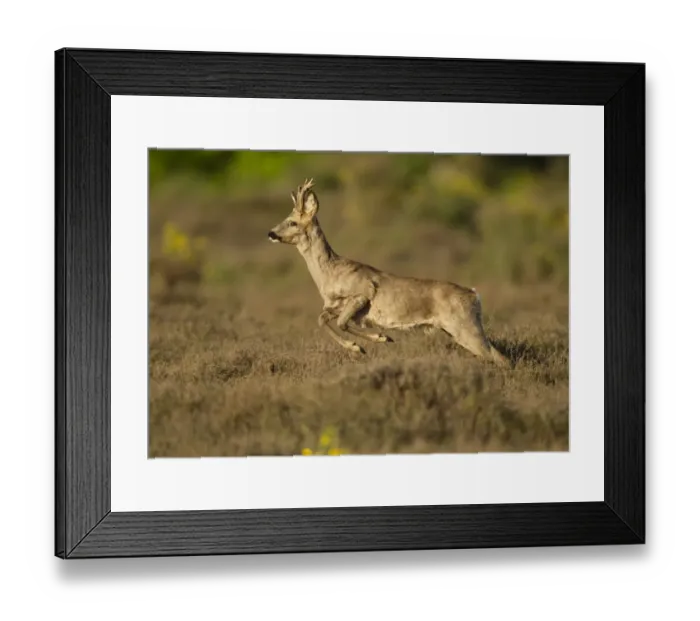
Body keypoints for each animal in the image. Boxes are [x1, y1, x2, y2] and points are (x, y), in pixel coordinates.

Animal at [267, 179, 511, 368]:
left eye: (292, 222)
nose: (270, 233)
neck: (329, 273)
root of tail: (474, 295)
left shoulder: (362, 294)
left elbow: (343, 323)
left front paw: (377, 339)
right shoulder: (334, 305)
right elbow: (321, 320)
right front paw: (362, 345)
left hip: (464, 326)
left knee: (500, 357)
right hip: (458, 329)